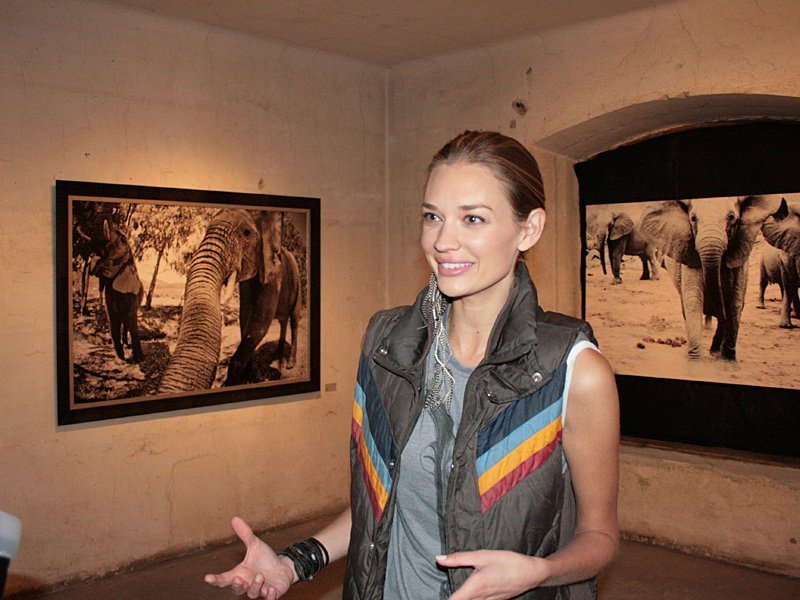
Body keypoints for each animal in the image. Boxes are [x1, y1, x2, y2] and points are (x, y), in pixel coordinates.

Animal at [91, 220, 145, 362]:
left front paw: (139, 359)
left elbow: (131, 319)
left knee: (126, 322)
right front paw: (121, 356)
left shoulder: (131, 292)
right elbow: (113, 319)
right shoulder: (109, 294)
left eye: (123, 239)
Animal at [158, 209, 302, 393]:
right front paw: (247, 376)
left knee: (294, 320)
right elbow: (244, 316)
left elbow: (259, 322)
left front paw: (232, 382)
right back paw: (278, 355)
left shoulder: (273, 274)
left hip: (297, 279)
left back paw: (290, 364)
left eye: (246, 233)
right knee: (283, 320)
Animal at [640, 195, 782, 360]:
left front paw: (728, 359)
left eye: (731, 217)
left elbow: (735, 302)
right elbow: (693, 299)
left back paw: (715, 351)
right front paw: (694, 359)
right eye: (693, 218)